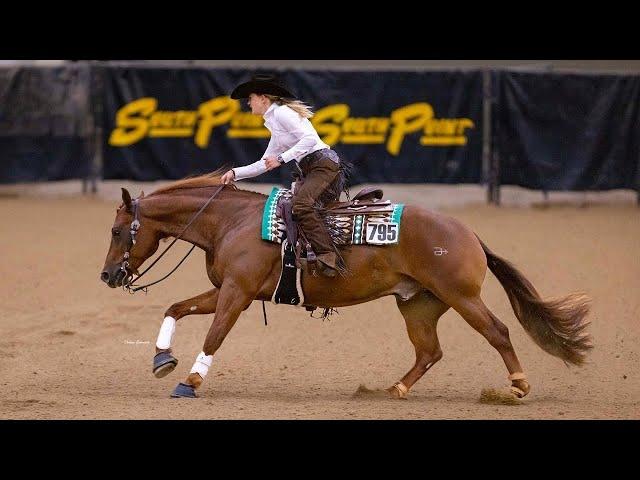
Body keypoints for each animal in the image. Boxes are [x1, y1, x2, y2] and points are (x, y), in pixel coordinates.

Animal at [100, 174, 596, 400]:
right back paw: (395, 389)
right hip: (418, 306)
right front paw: (163, 359)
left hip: (462, 297)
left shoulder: (236, 295)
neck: (233, 222)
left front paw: (190, 381)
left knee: (498, 332)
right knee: (429, 352)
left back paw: (517, 386)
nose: (107, 276)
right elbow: (175, 307)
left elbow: (214, 335)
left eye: (118, 231)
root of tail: (468, 233)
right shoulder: (225, 290)